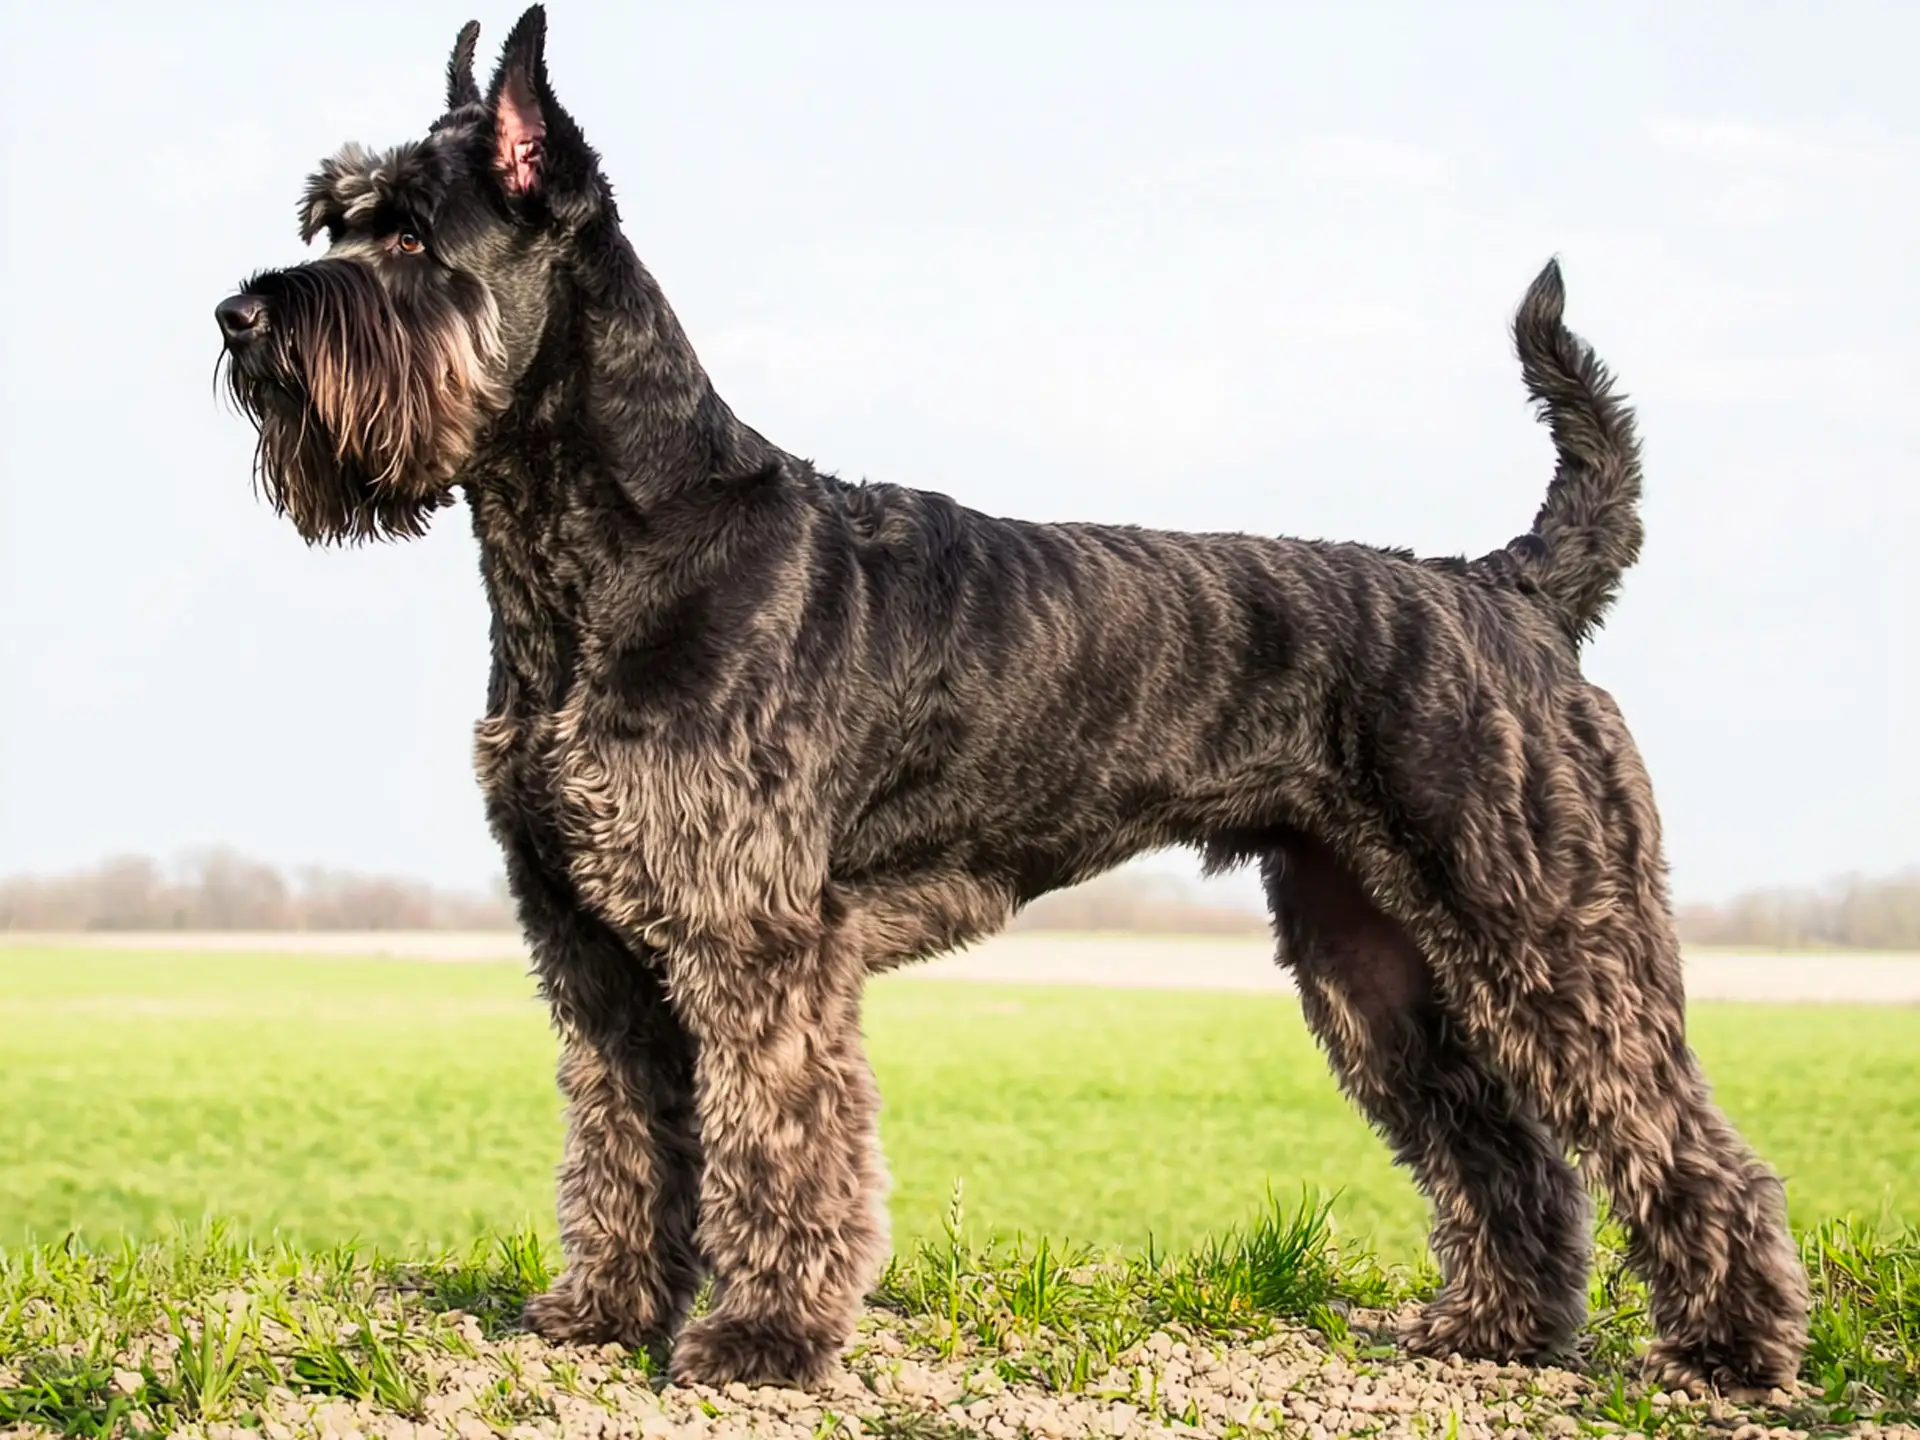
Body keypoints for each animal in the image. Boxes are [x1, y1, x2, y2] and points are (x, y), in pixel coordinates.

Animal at [217, 2, 1804, 1397]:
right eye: (331, 219)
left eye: (408, 233)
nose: (239, 314)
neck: (613, 547)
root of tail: (1504, 588)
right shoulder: (591, 945)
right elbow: (623, 1141)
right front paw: (601, 1316)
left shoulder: (753, 942)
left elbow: (775, 1144)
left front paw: (763, 1341)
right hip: (1372, 965)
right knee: (1506, 1151)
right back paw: (1496, 1333)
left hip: (1547, 923)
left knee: (1679, 1138)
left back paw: (1730, 1349)